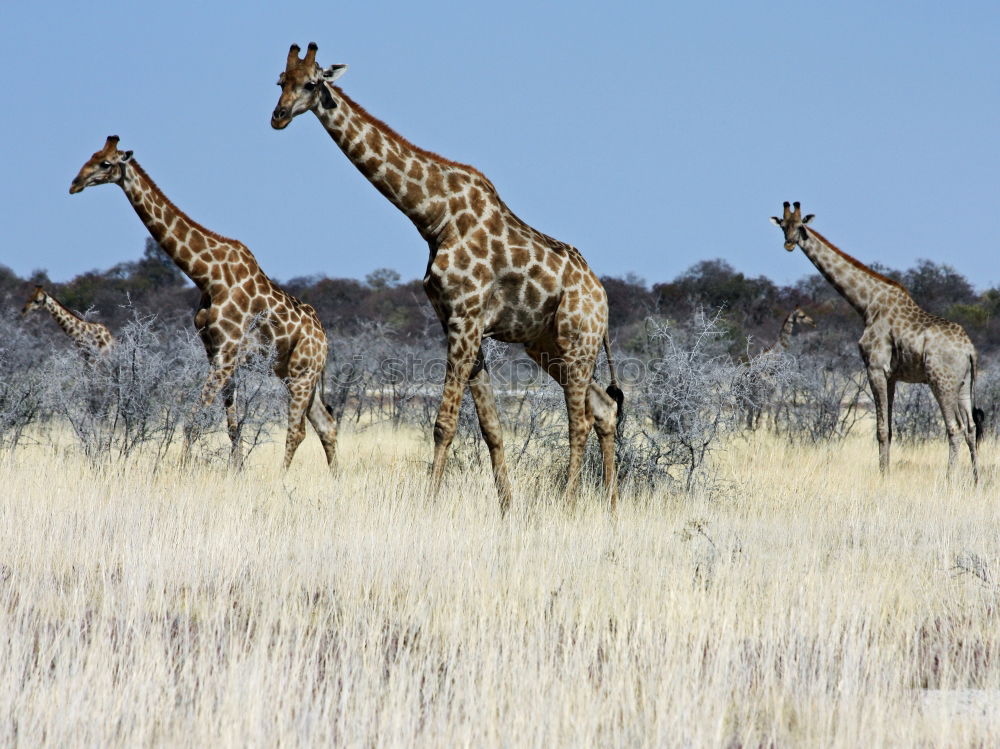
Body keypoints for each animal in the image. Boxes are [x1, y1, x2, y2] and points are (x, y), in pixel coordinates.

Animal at [69, 134, 340, 468]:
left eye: (105, 163)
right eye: (91, 156)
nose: (75, 183)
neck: (207, 276)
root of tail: (324, 340)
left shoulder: (226, 351)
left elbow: (194, 420)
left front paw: (183, 470)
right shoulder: (215, 353)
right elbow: (233, 426)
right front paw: (236, 471)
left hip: (303, 371)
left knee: (298, 429)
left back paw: (282, 476)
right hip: (292, 371)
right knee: (326, 424)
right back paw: (335, 478)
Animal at [270, 43, 620, 512]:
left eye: (311, 83)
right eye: (280, 81)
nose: (278, 116)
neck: (434, 217)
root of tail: (602, 297)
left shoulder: (465, 318)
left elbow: (444, 423)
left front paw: (429, 503)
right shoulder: (456, 321)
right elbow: (491, 428)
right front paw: (507, 508)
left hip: (577, 341)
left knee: (579, 420)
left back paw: (568, 503)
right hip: (545, 345)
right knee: (603, 408)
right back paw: (612, 505)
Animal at [768, 199, 980, 480]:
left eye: (801, 225)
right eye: (783, 225)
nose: (790, 243)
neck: (867, 304)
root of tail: (970, 350)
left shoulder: (875, 368)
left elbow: (880, 429)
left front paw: (883, 475)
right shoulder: (890, 375)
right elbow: (888, 429)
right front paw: (885, 471)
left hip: (941, 382)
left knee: (954, 428)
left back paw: (948, 479)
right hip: (965, 384)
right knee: (971, 427)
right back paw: (976, 480)